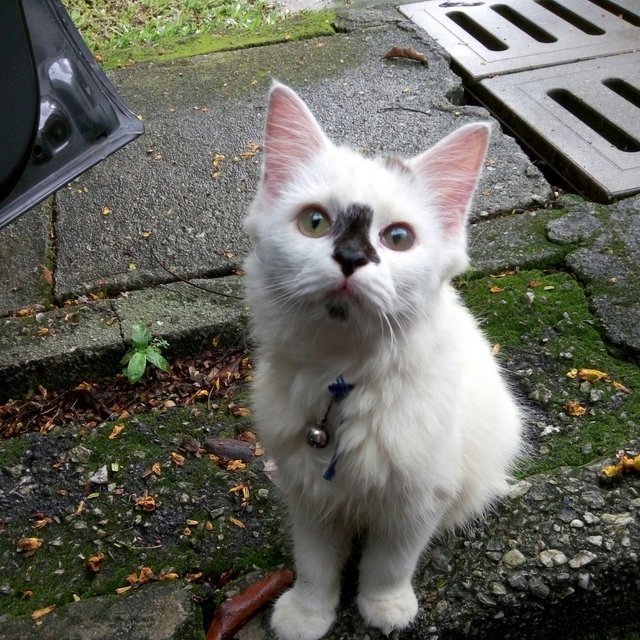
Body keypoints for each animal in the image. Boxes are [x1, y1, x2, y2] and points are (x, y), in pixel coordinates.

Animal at [242, 81, 524, 640]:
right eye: (314, 223)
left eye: (397, 239)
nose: (351, 258)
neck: (342, 380)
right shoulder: (309, 497)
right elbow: (315, 566)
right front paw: (307, 615)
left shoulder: (417, 501)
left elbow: (388, 564)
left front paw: (385, 610)